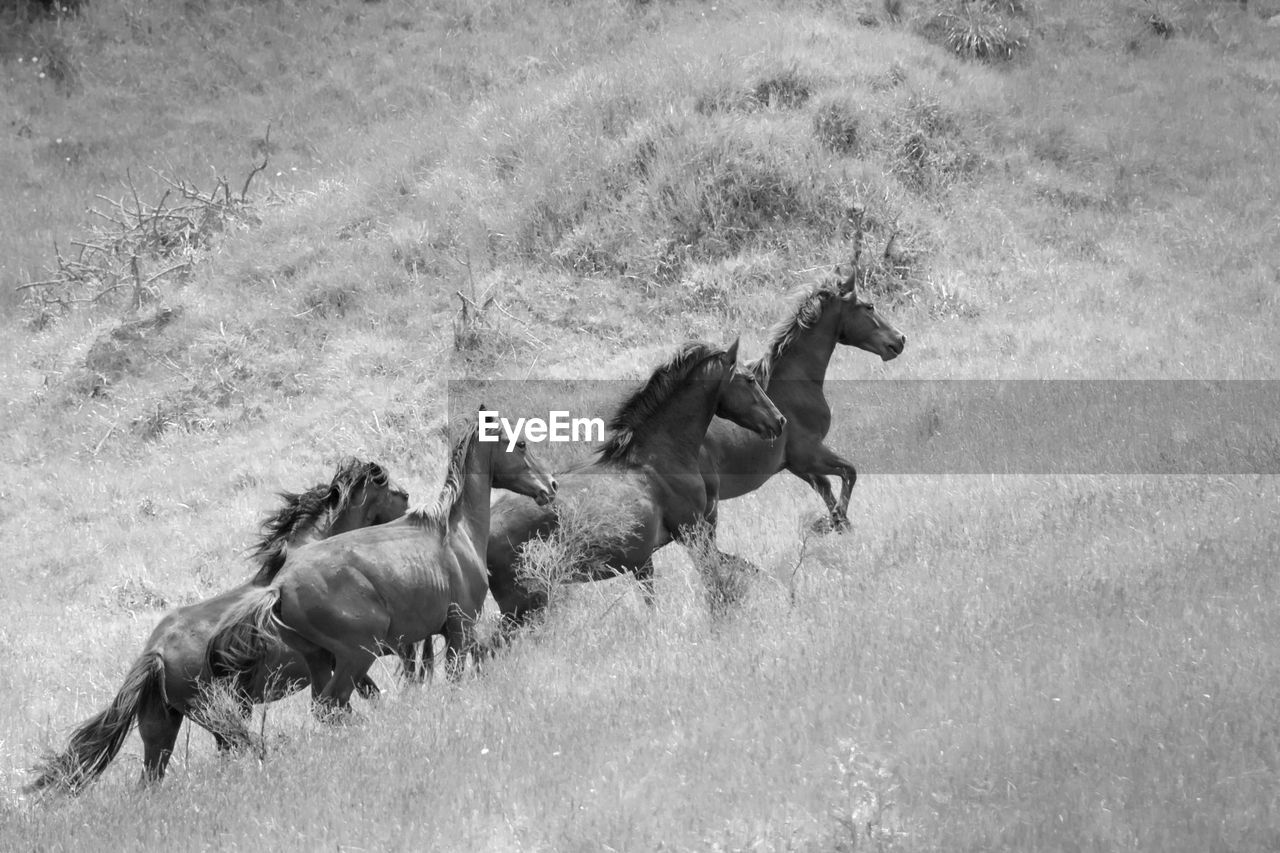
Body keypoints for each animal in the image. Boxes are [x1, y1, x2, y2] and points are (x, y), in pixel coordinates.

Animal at [26, 458, 409, 788]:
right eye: (391, 490)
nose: (408, 503)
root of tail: (155, 653)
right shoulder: (337, 656)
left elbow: (367, 692)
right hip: (221, 715)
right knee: (245, 746)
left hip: (163, 726)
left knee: (152, 780)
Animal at [204, 409, 555, 722]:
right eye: (521, 444)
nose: (550, 485)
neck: (456, 530)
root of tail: (279, 588)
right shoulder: (460, 626)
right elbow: (456, 677)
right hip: (357, 655)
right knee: (332, 704)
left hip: (320, 659)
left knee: (325, 707)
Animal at [483, 335, 783, 622]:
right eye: (750, 379)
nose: (779, 421)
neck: (659, 459)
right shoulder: (694, 534)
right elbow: (720, 584)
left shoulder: (653, 557)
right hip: (523, 603)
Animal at [701, 267, 911, 532]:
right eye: (869, 306)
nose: (900, 339)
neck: (794, 385)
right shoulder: (809, 452)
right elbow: (849, 473)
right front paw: (832, 521)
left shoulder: (796, 465)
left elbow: (826, 488)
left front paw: (838, 525)